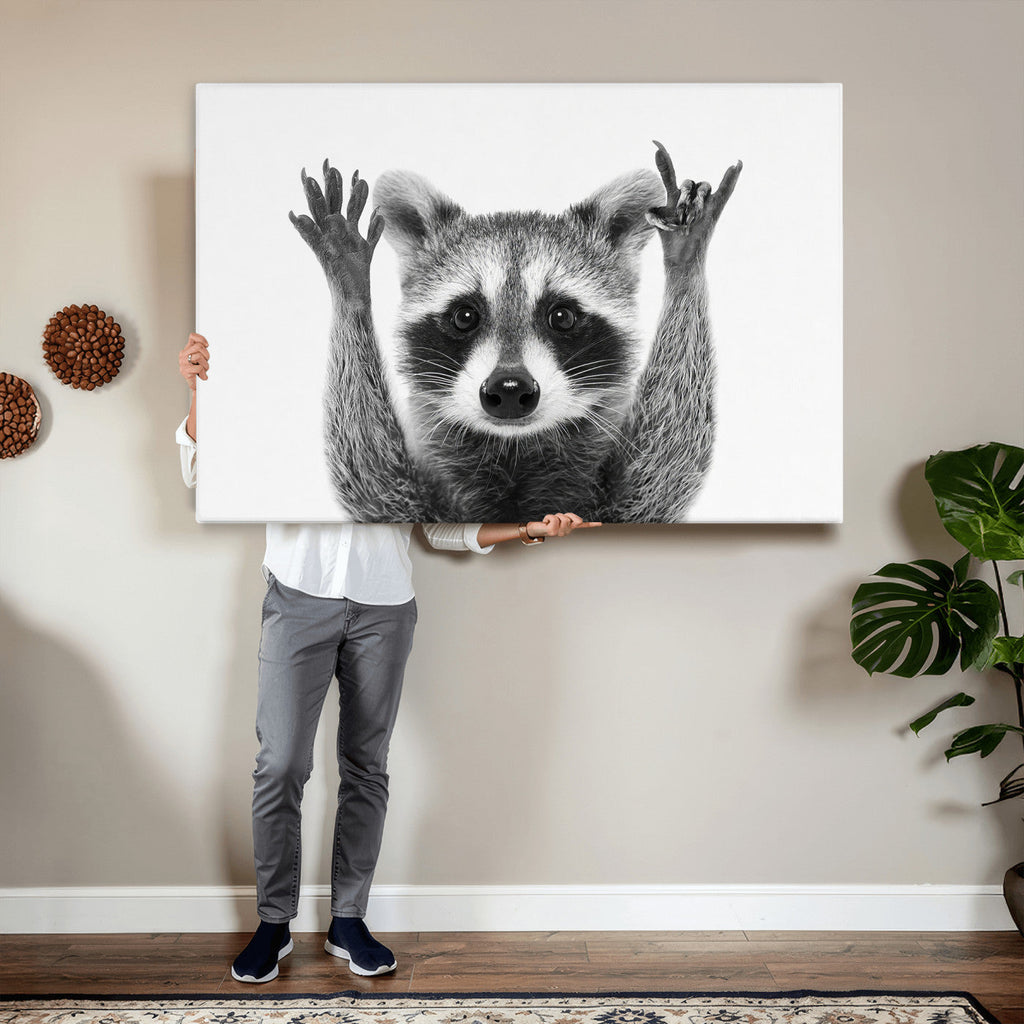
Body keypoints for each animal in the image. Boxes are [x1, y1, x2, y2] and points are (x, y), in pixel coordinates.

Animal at [288, 142, 741, 523]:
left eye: (562, 317)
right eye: (464, 316)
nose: (509, 389)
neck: (513, 450)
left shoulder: (623, 504)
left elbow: (667, 462)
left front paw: (685, 262)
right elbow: (370, 481)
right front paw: (349, 283)